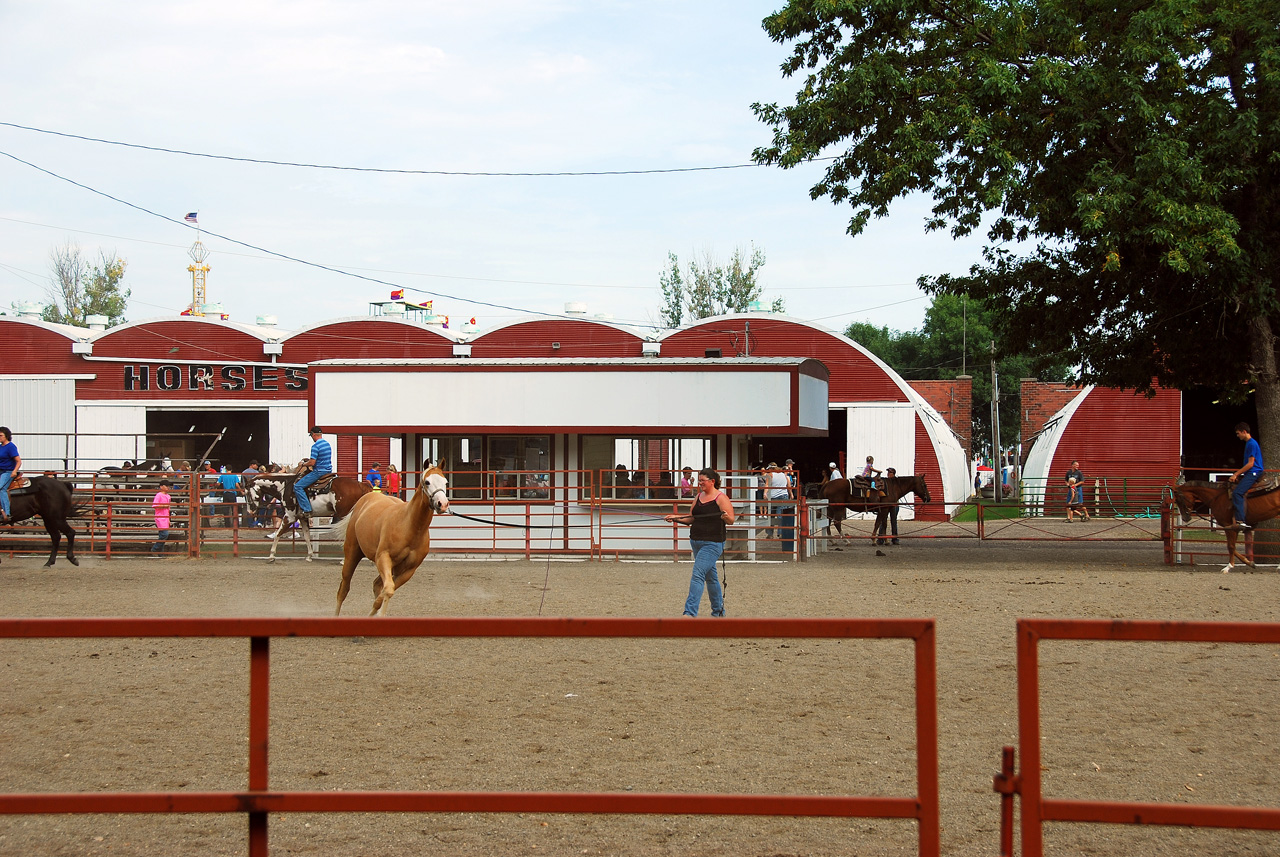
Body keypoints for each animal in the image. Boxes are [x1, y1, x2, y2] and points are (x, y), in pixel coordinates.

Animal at [240, 470, 371, 562]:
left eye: (247, 493)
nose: (250, 511)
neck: (285, 486)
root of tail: (361, 485)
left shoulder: (289, 516)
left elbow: (278, 533)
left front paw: (271, 556)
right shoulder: (302, 517)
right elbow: (307, 536)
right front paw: (309, 556)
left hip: (345, 516)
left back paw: (344, 560)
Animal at [332, 470, 453, 619]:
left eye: (445, 482)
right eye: (427, 482)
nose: (443, 504)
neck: (409, 525)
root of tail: (366, 498)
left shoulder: (408, 570)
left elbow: (387, 591)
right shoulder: (383, 557)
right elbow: (388, 590)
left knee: (376, 584)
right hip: (352, 553)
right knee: (343, 589)